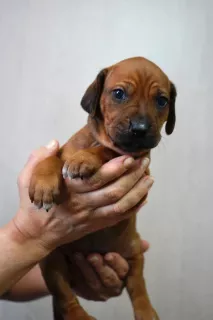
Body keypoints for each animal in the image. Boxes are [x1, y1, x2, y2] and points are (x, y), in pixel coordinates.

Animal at [29, 57, 176, 320]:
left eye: (162, 101)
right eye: (118, 94)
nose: (140, 128)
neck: (96, 138)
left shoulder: (138, 162)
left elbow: (108, 151)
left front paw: (84, 159)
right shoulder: (62, 151)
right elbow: (52, 158)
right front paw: (43, 184)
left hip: (133, 252)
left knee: (138, 286)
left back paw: (146, 312)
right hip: (51, 259)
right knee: (63, 295)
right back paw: (78, 315)